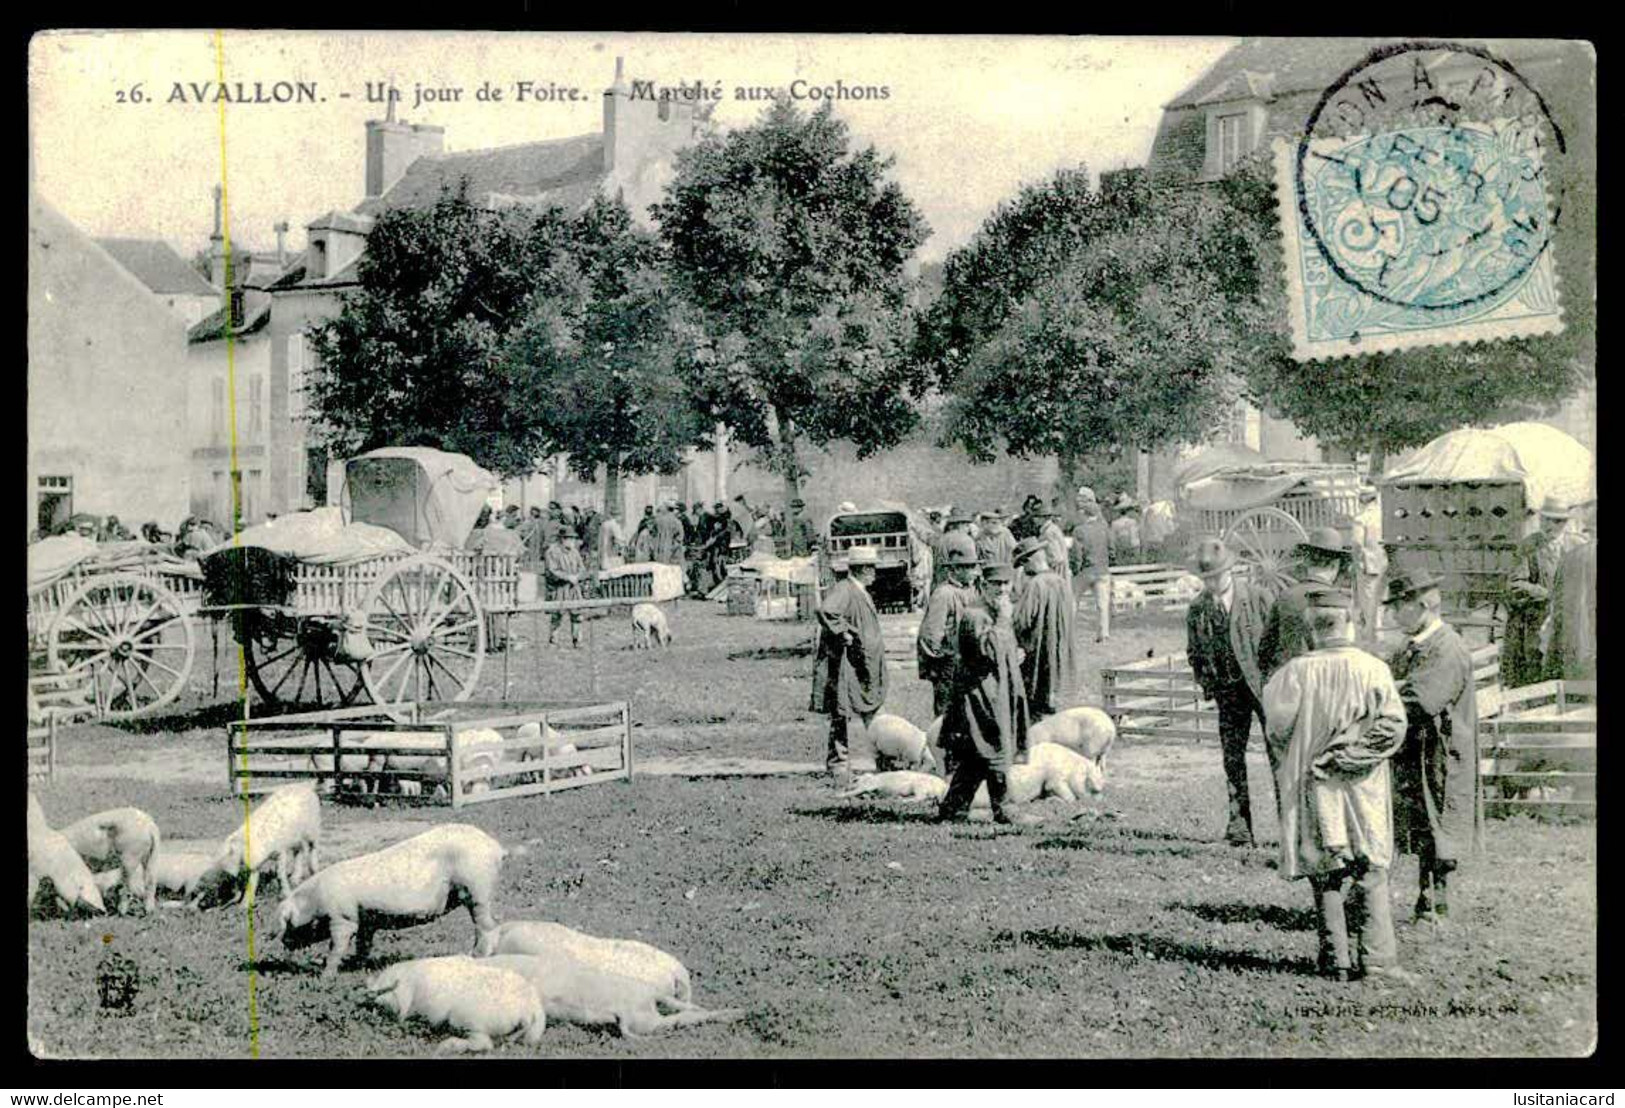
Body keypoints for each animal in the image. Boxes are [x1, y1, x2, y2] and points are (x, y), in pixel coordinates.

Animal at [194, 776, 323, 903]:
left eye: (230, 856)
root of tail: (305, 786)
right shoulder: (255, 863)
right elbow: (253, 881)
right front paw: (244, 905)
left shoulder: (280, 851)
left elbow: (279, 874)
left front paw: (285, 895)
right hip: (296, 838)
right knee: (299, 852)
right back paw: (294, 880)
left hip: (313, 828)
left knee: (313, 847)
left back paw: (314, 871)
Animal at [274, 818, 507, 974]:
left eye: (288, 922)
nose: (283, 943)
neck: (315, 900)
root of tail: (495, 847)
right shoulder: (366, 920)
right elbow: (363, 945)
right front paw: (357, 966)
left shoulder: (343, 918)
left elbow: (336, 947)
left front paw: (326, 975)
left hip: (477, 889)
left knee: (487, 926)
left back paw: (475, 956)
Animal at [367, 955, 546, 1046]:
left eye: (385, 992)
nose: (375, 1004)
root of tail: (530, 1009)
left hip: (467, 1019)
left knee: (484, 1044)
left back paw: (445, 1046)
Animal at [474, 948, 744, 1033]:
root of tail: (650, 995)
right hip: (645, 1016)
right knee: (685, 1013)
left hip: (644, 1018)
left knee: (682, 1017)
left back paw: (737, 1014)